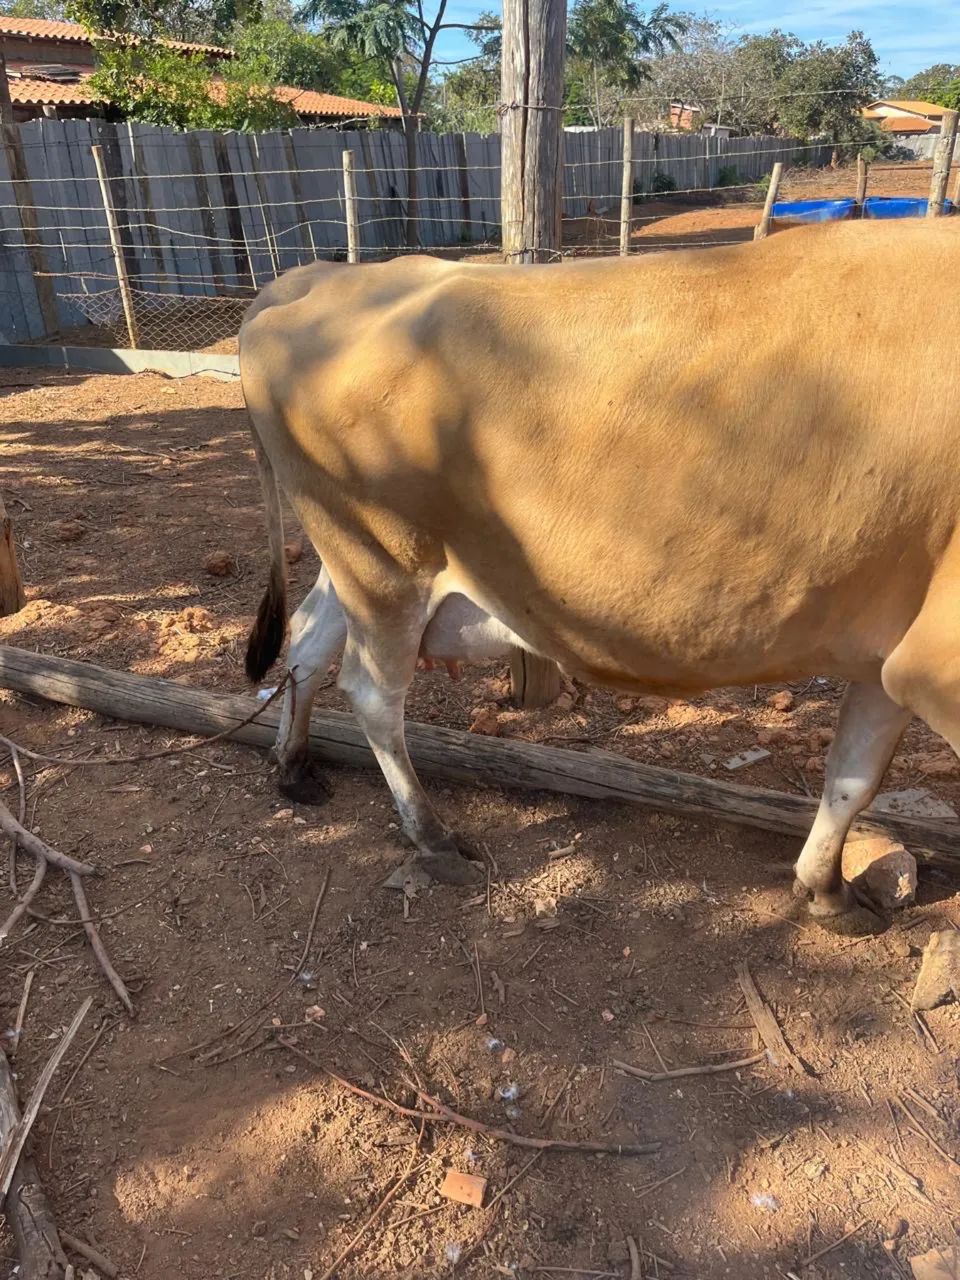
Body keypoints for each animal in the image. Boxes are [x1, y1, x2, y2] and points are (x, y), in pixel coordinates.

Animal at [239, 219, 960, 916]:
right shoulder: (934, 668)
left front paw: (824, 886)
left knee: (308, 637)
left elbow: (853, 775)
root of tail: (319, 278)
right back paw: (432, 836)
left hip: (355, 559)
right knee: (371, 691)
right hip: (384, 559)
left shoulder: (886, 657)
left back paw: (292, 765)